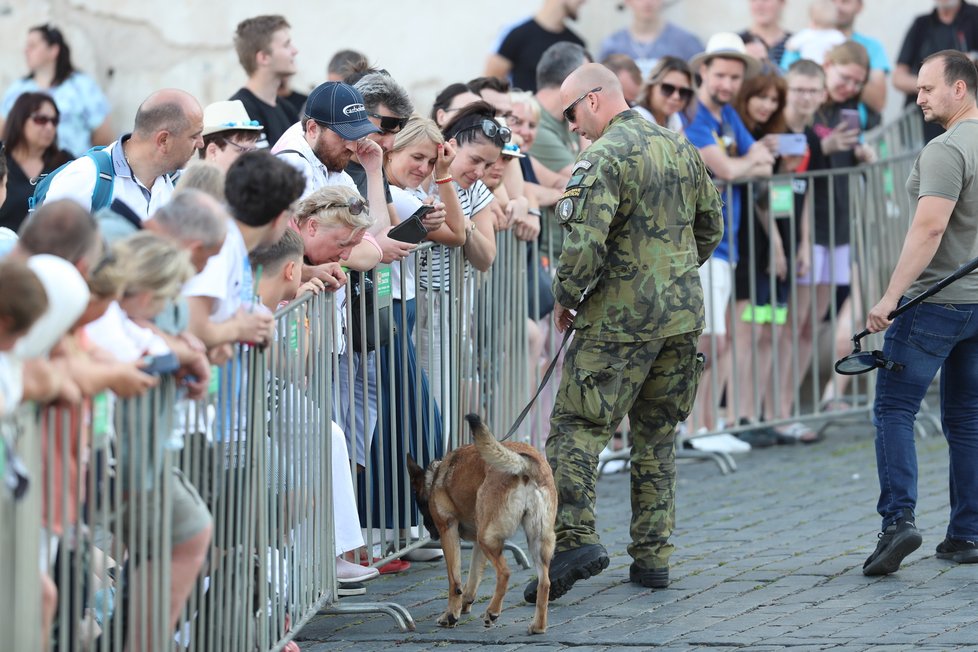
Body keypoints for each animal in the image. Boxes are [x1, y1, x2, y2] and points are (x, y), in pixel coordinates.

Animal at [406, 416, 556, 636]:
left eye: (419, 504)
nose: (430, 534)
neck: (436, 476)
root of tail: (525, 464)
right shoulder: (477, 544)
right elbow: (472, 580)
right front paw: (464, 606)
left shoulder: (448, 531)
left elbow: (455, 582)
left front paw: (450, 615)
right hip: (535, 540)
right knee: (545, 582)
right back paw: (538, 626)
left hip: (488, 539)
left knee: (505, 573)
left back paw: (492, 612)